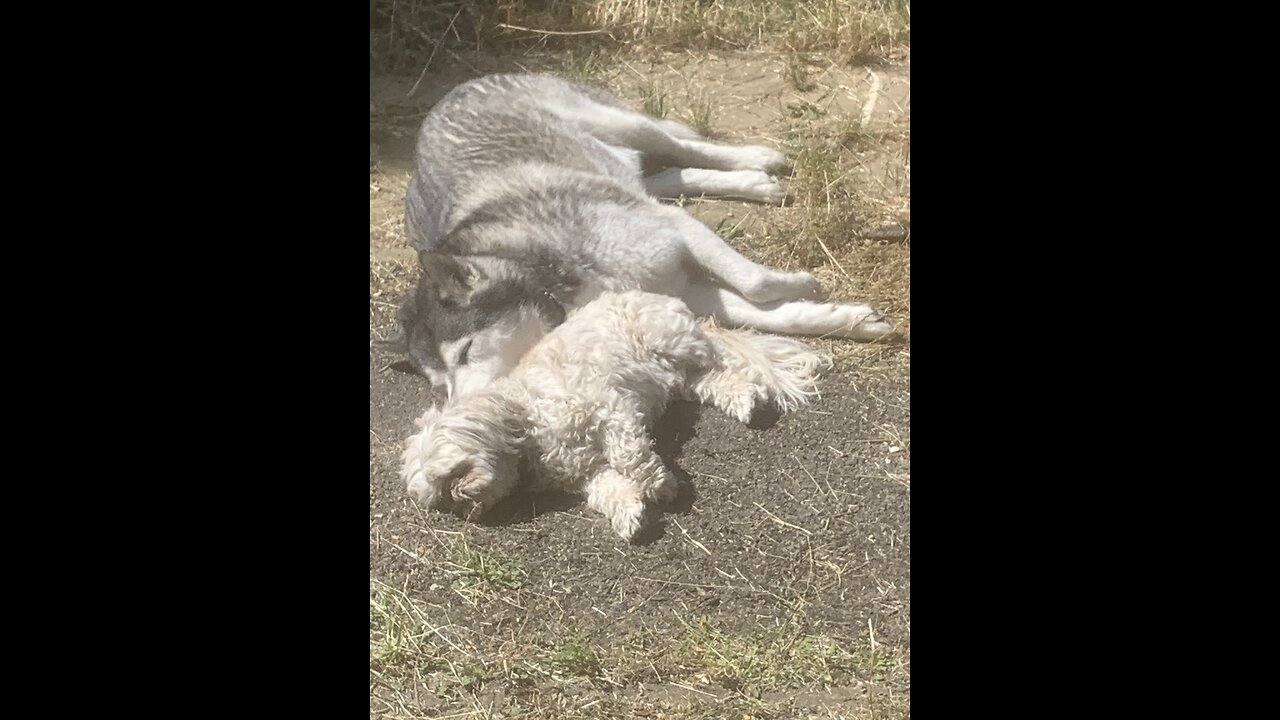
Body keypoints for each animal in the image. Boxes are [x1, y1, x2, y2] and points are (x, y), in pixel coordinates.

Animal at [381, 73, 890, 397]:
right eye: (439, 389)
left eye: (466, 353)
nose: (456, 410)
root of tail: (449, 93)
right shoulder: (685, 289)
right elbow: (773, 313)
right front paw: (849, 319)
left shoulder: (676, 232)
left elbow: (759, 284)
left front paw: (804, 285)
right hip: (621, 164)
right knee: (665, 176)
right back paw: (753, 183)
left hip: (625, 125)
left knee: (682, 147)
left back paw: (757, 160)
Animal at [404, 289, 834, 538]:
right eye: (444, 501)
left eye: (454, 475)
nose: (467, 506)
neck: (528, 421)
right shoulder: (589, 472)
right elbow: (609, 487)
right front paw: (629, 512)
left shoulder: (609, 411)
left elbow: (632, 457)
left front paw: (660, 486)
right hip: (680, 376)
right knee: (712, 380)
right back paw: (744, 399)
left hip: (673, 340)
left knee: (722, 355)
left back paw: (751, 389)